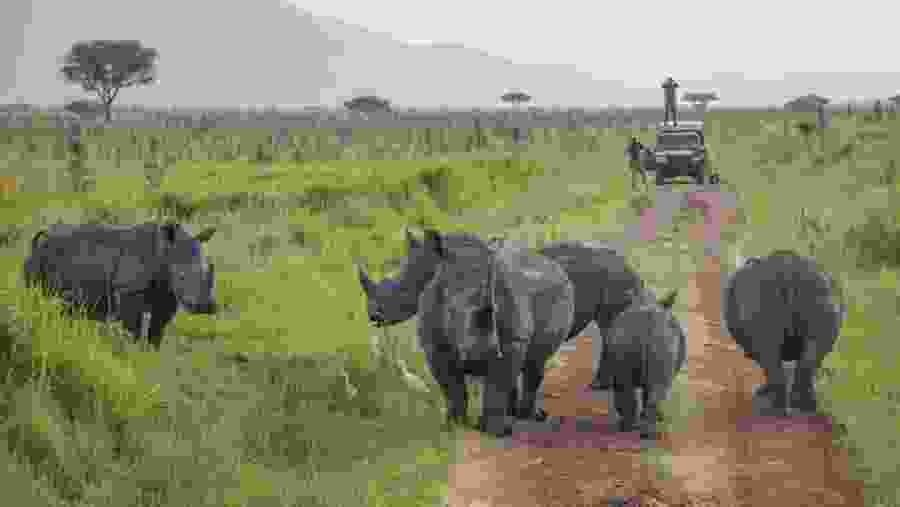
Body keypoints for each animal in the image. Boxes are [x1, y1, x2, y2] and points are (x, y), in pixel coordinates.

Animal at [24, 222, 218, 349]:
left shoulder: (167, 297)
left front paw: (150, 358)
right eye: (181, 276)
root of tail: (40, 242)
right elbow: (133, 331)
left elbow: (156, 333)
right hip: (40, 260)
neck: (165, 253)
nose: (206, 307)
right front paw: (131, 356)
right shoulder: (128, 293)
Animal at [358, 231, 643, 390]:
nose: (373, 316)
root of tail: (628, 264)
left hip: (614, 275)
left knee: (608, 325)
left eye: (403, 290)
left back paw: (598, 386)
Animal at [413, 230, 575, 437]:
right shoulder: (434, 344)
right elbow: (452, 387)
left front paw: (494, 431)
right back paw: (512, 413)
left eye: (493, 309)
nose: (478, 359)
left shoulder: (512, 340)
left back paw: (531, 416)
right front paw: (454, 425)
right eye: (450, 312)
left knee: (535, 361)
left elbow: (497, 385)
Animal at [605, 286, 686, 439]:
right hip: (660, 342)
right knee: (653, 388)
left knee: (625, 384)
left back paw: (631, 427)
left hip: (626, 339)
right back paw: (645, 431)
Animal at [724, 249, 846, 414]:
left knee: (771, 361)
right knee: (811, 358)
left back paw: (774, 408)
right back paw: (806, 407)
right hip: (820, 297)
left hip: (764, 300)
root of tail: (788, 272)